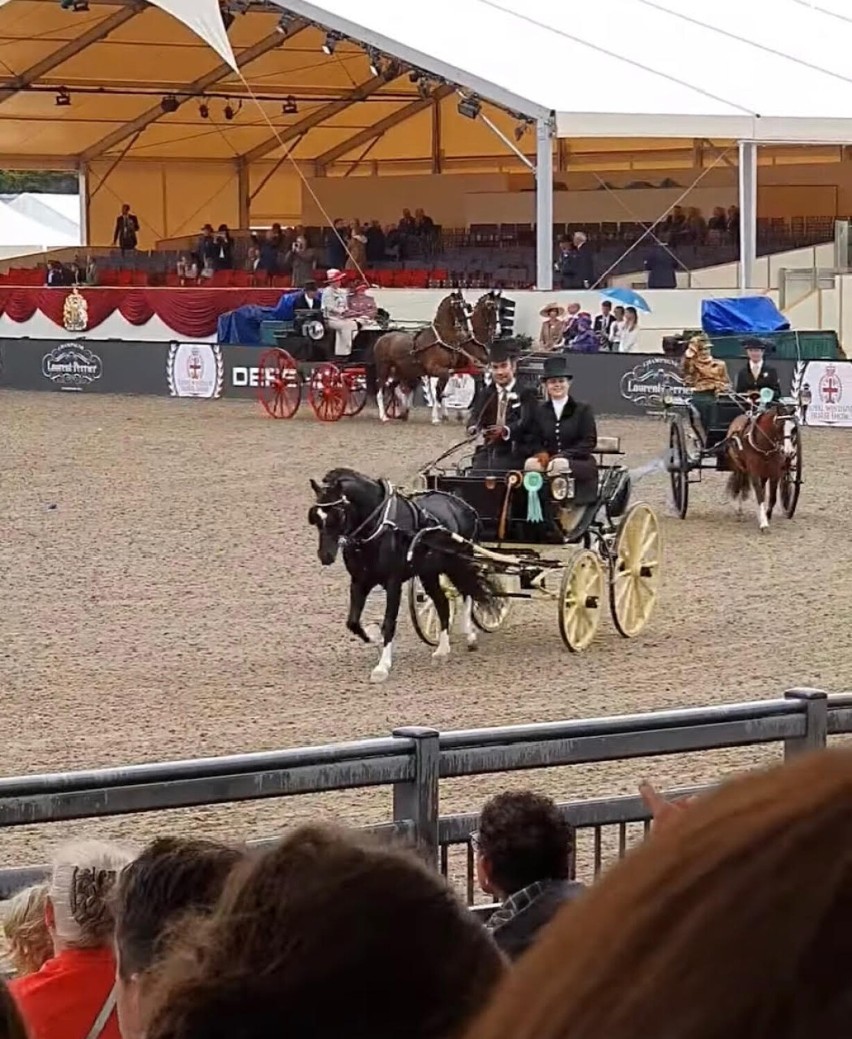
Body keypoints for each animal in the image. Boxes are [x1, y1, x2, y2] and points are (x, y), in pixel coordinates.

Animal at [309, 469, 502, 681]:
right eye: (315, 517)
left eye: (338, 515)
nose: (325, 556)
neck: (379, 527)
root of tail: (462, 504)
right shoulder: (359, 581)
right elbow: (353, 622)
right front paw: (374, 635)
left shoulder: (393, 582)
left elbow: (389, 623)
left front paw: (382, 666)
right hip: (430, 572)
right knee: (443, 603)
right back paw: (442, 649)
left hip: (460, 561)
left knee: (468, 591)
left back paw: (470, 635)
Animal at [374, 290, 488, 423]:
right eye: (456, 306)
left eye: (466, 306)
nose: (465, 329)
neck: (442, 339)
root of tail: (382, 338)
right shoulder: (435, 369)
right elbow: (438, 391)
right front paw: (437, 417)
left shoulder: (448, 369)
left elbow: (441, 391)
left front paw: (440, 414)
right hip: (384, 368)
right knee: (380, 390)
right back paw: (383, 416)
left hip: (401, 371)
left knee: (393, 387)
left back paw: (402, 413)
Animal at [723, 394, 793, 531]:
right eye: (780, 424)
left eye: (794, 428)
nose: (788, 451)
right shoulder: (754, 472)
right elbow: (760, 496)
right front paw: (764, 523)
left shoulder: (774, 473)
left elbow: (771, 497)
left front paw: (766, 515)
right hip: (740, 467)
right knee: (740, 485)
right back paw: (739, 511)